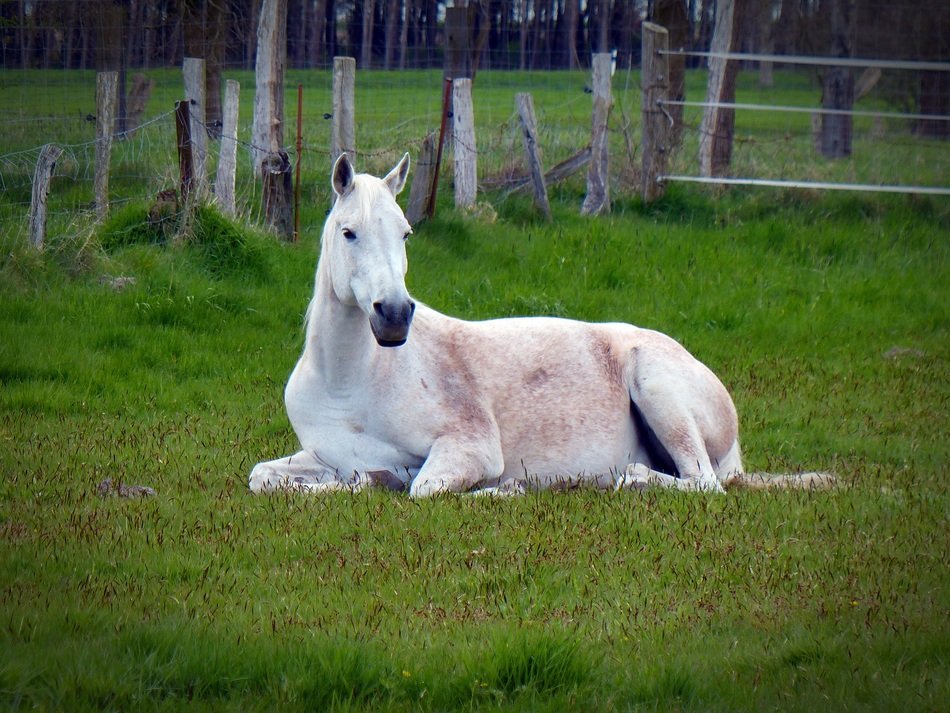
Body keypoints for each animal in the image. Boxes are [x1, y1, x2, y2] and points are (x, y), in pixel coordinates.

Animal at [249, 154, 834, 497]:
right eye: (348, 232)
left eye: (406, 233)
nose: (393, 315)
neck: (350, 382)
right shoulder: (322, 458)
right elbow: (264, 478)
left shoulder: (470, 448)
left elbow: (422, 487)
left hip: (659, 389)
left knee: (701, 484)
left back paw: (619, 479)